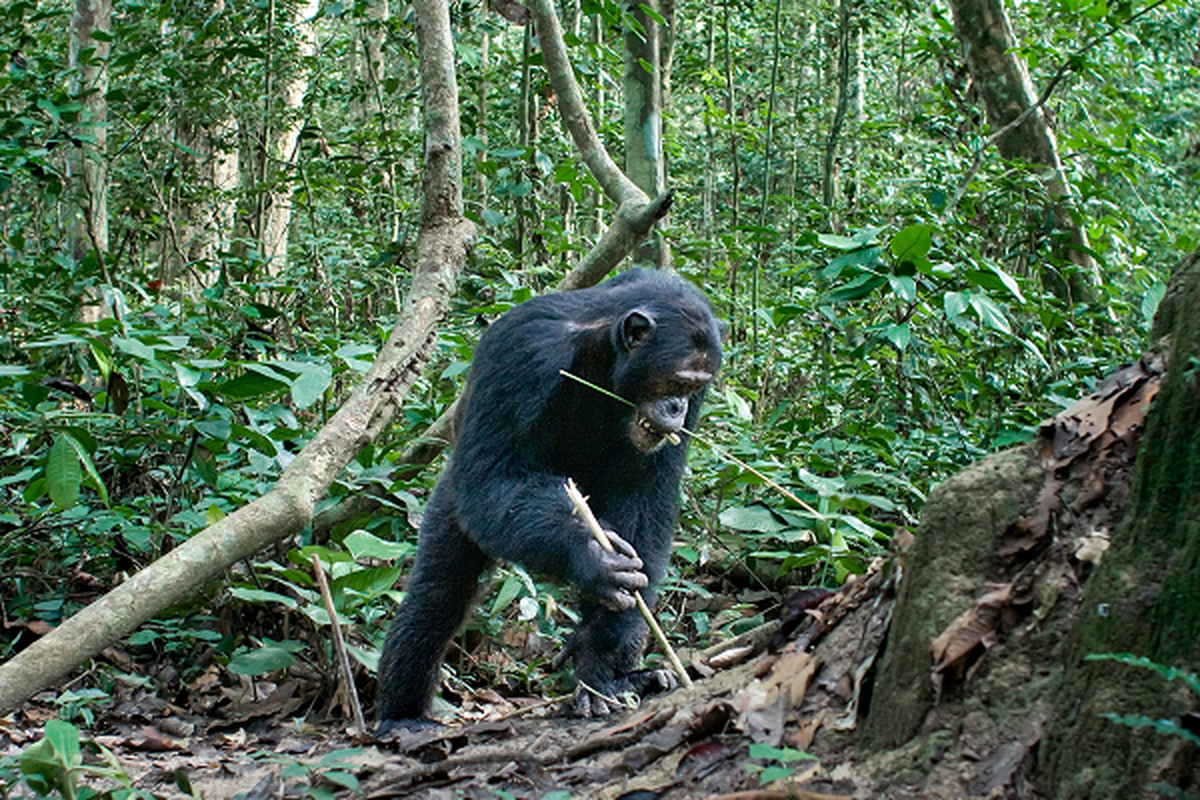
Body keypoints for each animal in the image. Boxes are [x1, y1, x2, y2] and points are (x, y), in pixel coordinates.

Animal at [374, 267, 715, 734]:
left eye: (694, 387)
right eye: (676, 380)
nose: (678, 406)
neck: (603, 351)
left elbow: (645, 501)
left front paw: (599, 661)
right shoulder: (524, 352)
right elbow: (493, 479)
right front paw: (591, 554)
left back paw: (622, 678)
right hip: (452, 499)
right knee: (439, 595)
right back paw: (402, 716)